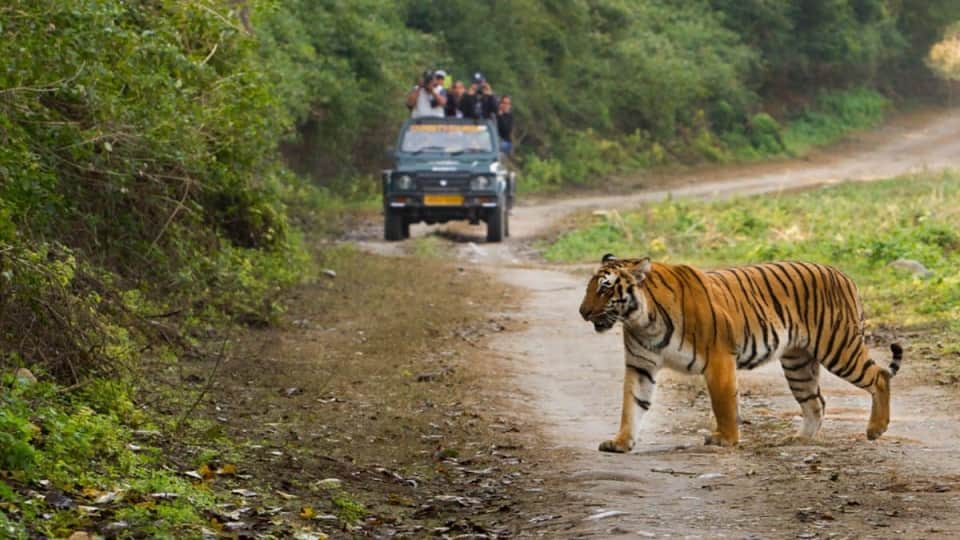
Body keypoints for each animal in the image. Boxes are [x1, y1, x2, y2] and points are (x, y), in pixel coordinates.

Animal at [578, 254, 903, 453]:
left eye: (605, 288)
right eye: (590, 287)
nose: (583, 312)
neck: (642, 320)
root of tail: (843, 274)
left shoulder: (719, 358)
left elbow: (723, 403)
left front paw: (725, 439)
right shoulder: (640, 366)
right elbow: (632, 404)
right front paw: (621, 442)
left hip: (838, 347)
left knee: (879, 376)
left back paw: (875, 429)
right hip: (798, 363)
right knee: (816, 402)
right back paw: (799, 440)